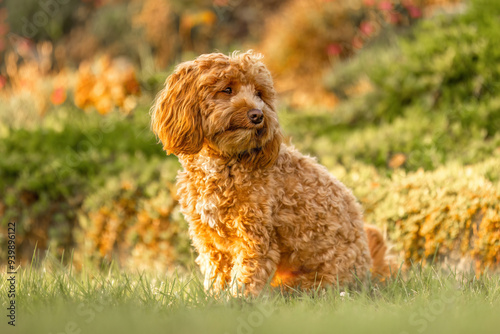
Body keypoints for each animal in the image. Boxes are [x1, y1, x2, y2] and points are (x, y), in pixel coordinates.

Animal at [150, 51, 392, 296]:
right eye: (227, 89)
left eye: (259, 93)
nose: (257, 115)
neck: (224, 163)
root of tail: (368, 269)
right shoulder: (209, 238)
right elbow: (216, 274)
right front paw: (213, 299)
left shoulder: (254, 237)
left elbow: (245, 277)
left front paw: (235, 300)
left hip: (310, 283)